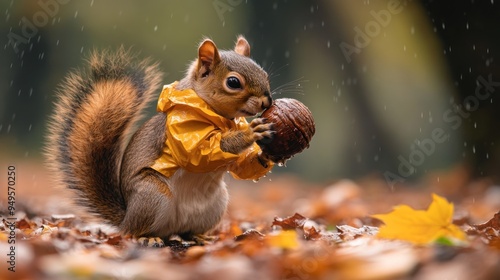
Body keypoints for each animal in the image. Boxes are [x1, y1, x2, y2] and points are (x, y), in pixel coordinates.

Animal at [45, 36, 276, 244]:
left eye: (264, 74)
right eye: (233, 82)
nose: (267, 101)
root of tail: (126, 217)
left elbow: (239, 166)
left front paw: (264, 155)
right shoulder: (179, 130)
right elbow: (198, 153)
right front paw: (250, 133)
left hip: (215, 205)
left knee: (186, 233)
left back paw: (199, 236)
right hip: (152, 194)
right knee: (134, 232)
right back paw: (147, 238)